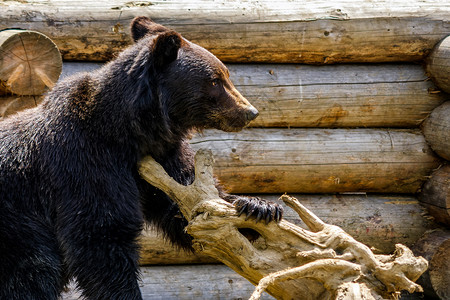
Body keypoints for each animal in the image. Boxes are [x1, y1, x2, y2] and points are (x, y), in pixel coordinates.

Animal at [0, 17, 282, 298]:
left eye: (225, 75)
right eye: (215, 80)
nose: (250, 111)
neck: (131, 132)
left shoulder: (161, 161)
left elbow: (186, 210)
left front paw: (259, 207)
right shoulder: (84, 161)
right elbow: (101, 234)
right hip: (18, 223)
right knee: (34, 268)